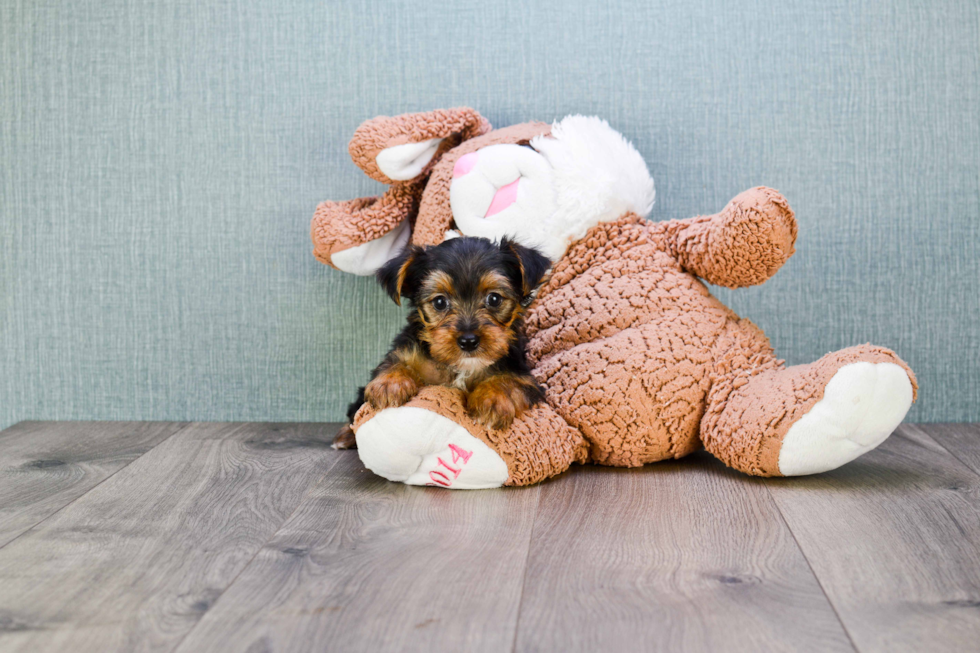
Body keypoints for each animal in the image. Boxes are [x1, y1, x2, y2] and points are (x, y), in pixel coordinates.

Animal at [334, 237, 552, 450]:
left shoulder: (523, 375)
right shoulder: (408, 350)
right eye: (439, 302)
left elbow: (509, 381)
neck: (462, 367)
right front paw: (390, 384)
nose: (468, 340)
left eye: (494, 299)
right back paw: (346, 436)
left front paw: (492, 400)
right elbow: (394, 362)